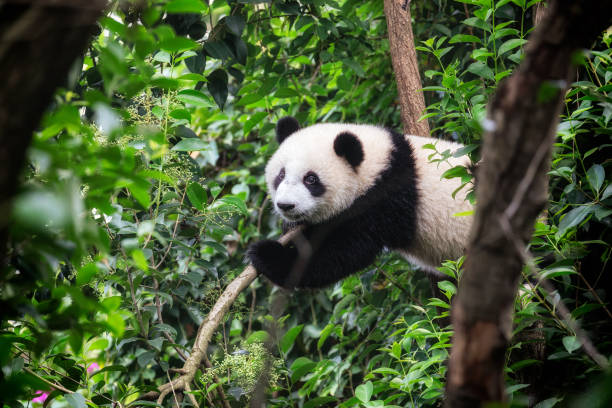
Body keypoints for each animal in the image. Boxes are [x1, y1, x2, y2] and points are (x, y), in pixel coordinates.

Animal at [246, 116, 470, 288]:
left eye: (310, 179)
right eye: (281, 174)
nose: (286, 205)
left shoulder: (385, 199)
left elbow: (341, 254)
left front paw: (267, 255)